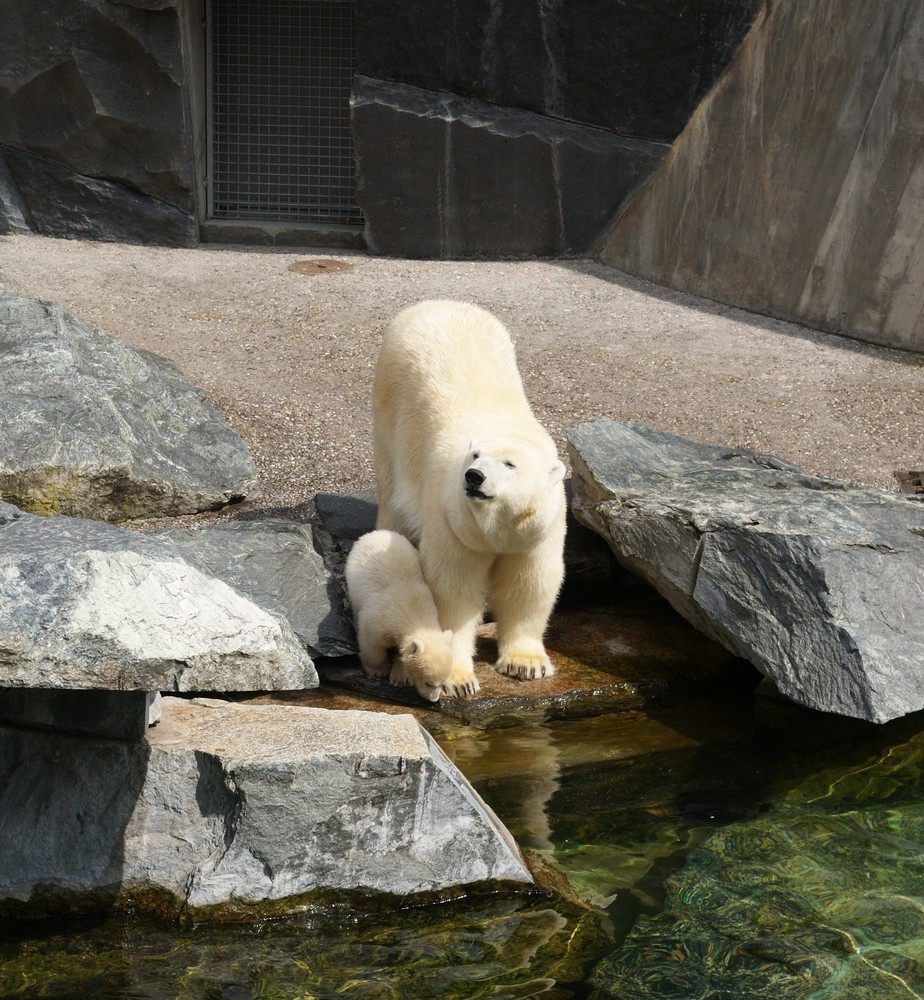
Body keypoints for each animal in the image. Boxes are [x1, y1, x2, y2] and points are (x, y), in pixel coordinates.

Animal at [342, 532, 452, 704]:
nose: (433, 700)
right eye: (428, 682)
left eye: (442, 682)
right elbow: (370, 643)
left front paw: (401, 678)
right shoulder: (378, 618)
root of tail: (376, 533)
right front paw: (379, 670)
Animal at [372, 300, 568, 700]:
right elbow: (453, 590)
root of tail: (431, 303)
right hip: (390, 417)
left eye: (509, 464)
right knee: (394, 508)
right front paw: (458, 678)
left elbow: (530, 583)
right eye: (474, 456)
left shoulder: (539, 531)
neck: (496, 529)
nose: (474, 477)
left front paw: (527, 665)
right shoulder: (453, 521)